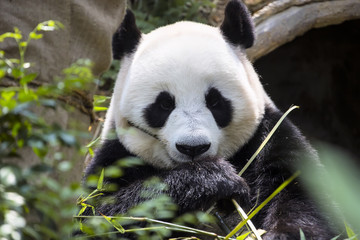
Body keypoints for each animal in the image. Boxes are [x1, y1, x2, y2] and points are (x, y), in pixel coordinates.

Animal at [84, 0, 338, 239]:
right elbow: (101, 214)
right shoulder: (116, 156)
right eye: (164, 104)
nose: (193, 147)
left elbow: (301, 194)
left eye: (215, 101)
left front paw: (283, 233)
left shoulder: (269, 135)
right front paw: (213, 179)